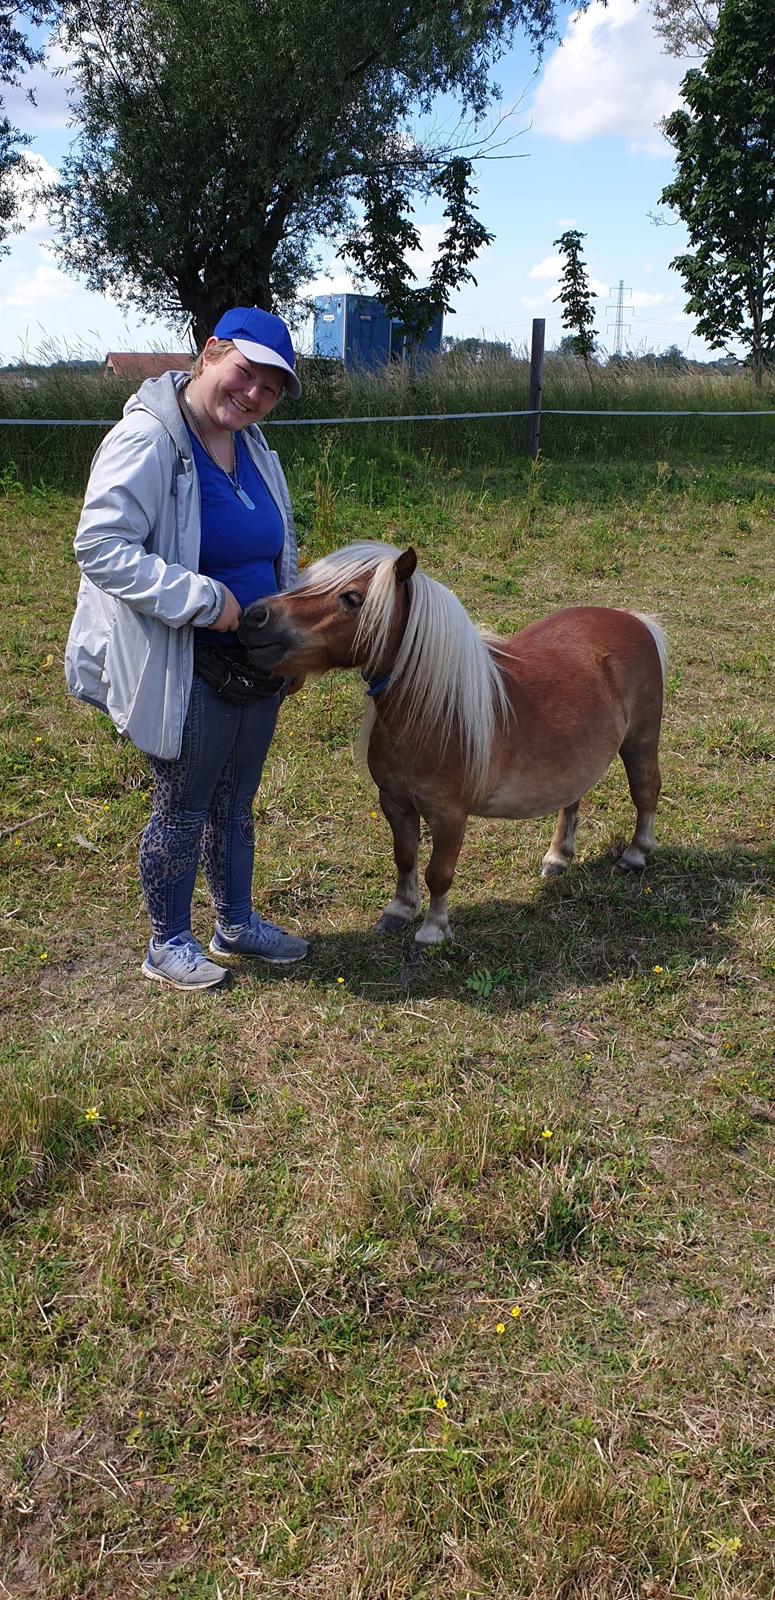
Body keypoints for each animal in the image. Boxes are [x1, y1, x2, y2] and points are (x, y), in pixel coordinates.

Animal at [241, 547, 666, 940]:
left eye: (351, 597)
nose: (254, 616)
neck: (434, 712)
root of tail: (635, 620)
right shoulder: (395, 803)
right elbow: (405, 858)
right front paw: (399, 911)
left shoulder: (449, 816)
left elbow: (438, 873)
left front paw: (433, 929)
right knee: (571, 801)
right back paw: (557, 858)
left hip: (640, 743)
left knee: (646, 793)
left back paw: (635, 855)